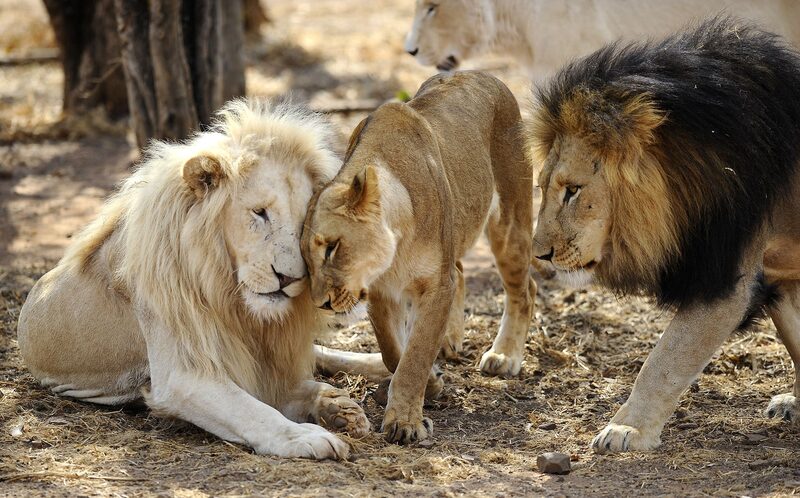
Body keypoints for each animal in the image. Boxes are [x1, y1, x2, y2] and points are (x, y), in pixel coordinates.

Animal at [16, 100, 370, 460]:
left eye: (305, 223)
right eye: (259, 213)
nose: (288, 277)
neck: (228, 292)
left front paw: (335, 407)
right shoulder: (181, 375)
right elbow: (253, 411)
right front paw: (307, 435)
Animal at [301, 71, 536, 444]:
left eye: (332, 247)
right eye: (305, 260)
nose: (321, 303)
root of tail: (482, 74)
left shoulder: (437, 284)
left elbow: (415, 355)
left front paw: (405, 423)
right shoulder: (380, 292)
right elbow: (394, 351)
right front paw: (433, 384)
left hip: (510, 223)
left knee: (525, 290)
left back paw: (504, 356)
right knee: (461, 270)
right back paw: (450, 341)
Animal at [528, 18, 800, 453]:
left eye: (573, 190)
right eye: (542, 188)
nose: (540, 255)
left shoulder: (724, 280)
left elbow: (664, 361)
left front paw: (627, 429)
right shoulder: (776, 273)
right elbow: (797, 337)